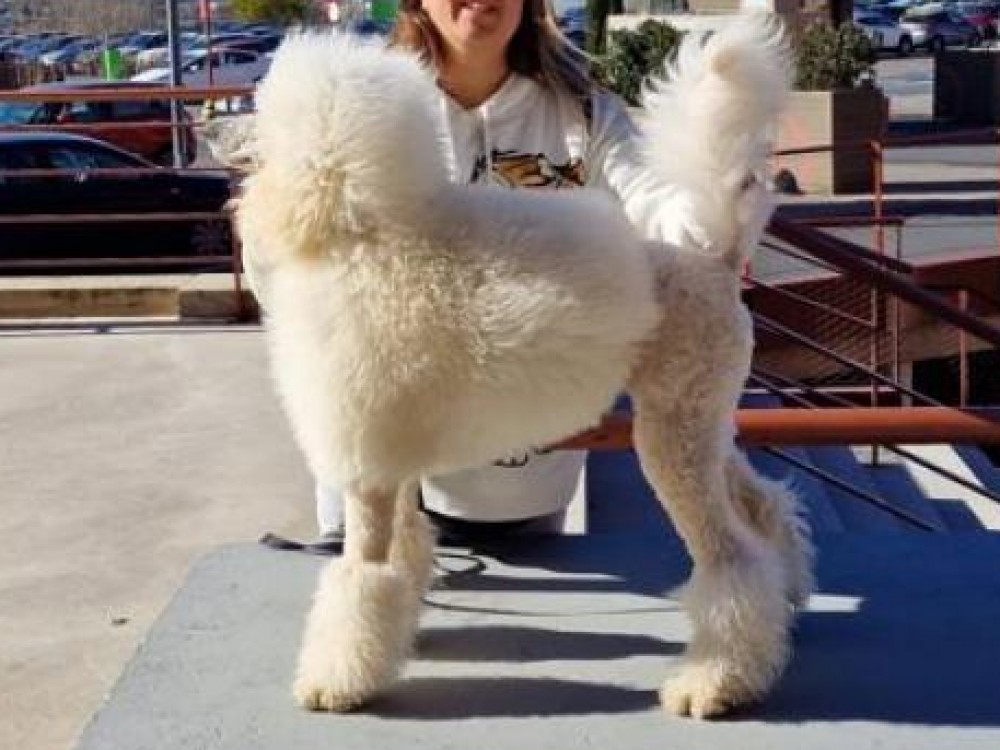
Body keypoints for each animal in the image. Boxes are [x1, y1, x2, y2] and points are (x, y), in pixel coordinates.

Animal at [209, 12, 814, 719]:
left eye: (264, 114)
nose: (211, 130)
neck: (365, 231)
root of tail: (716, 258)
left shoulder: (370, 470)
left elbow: (363, 572)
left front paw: (337, 680)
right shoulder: (395, 460)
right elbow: (405, 550)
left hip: (671, 438)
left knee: (729, 557)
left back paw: (716, 682)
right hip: (702, 423)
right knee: (763, 504)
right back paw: (790, 599)